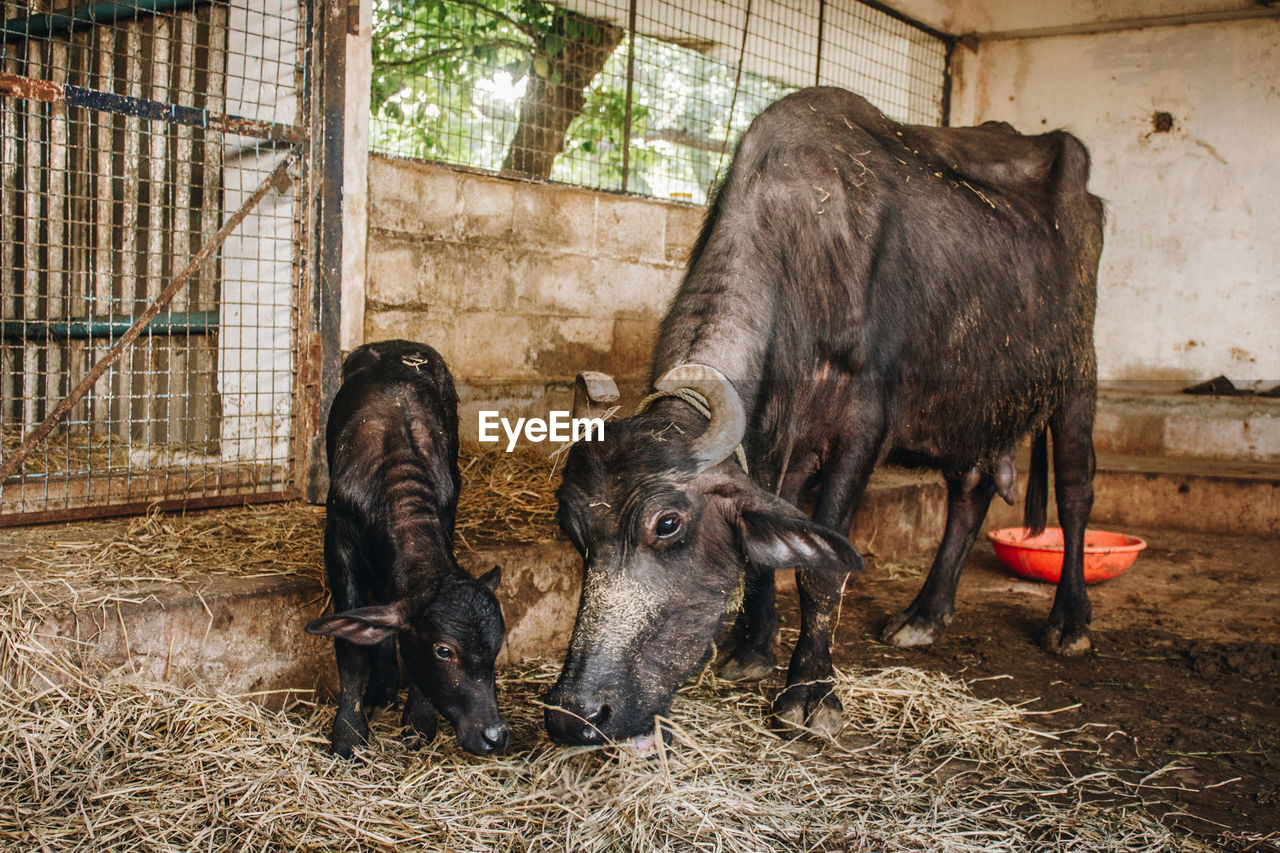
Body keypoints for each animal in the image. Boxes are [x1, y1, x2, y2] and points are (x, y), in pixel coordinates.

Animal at [545, 86, 1105, 742]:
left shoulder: (860, 432)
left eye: (667, 524)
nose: (573, 715)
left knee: (1075, 489)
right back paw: (924, 614)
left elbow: (822, 571)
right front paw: (752, 649)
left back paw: (1069, 622)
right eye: (572, 529)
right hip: (966, 410)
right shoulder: (775, 442)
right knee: (969, 493)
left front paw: (810, 691)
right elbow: (768, 558)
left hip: (1078, 373)